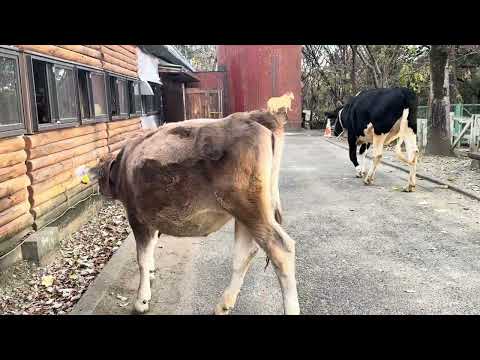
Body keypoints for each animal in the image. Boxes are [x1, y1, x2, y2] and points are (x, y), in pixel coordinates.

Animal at [89, 109, 298, 316]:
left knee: (280, 249)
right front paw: (151, 273)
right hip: (245, 214)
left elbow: (142, 258)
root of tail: (253, 116)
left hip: (249, 208)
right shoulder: (151, 217)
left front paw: (142, 300)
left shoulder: (136, 216)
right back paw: (223, 304)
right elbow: (151, 248)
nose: (99, 190)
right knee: (244, 254)